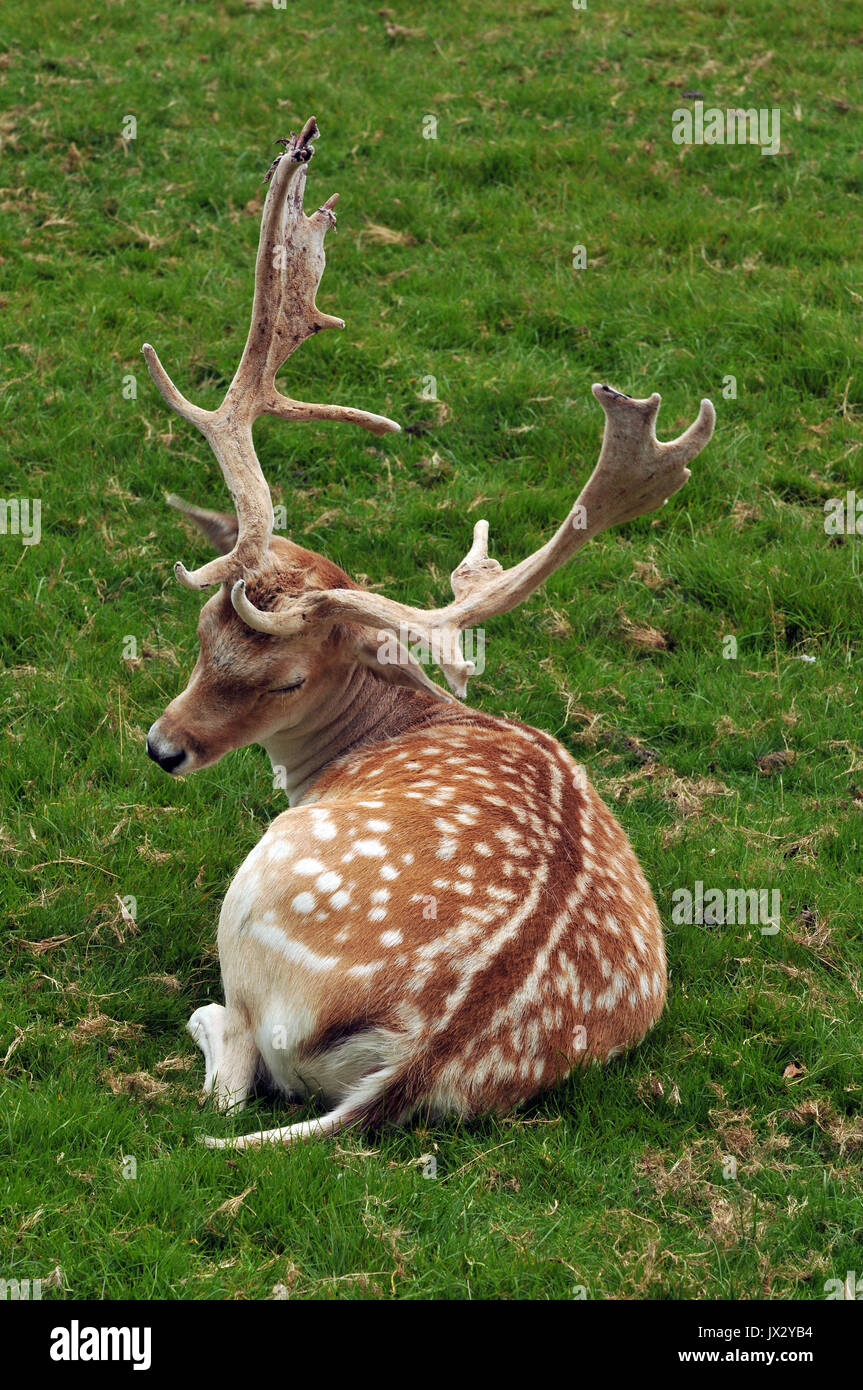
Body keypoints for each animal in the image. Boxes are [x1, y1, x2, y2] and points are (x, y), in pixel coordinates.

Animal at [141, 116, 711, 1150]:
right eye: (201, 631)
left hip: (258, 890)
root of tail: (420, 1056)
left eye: (286, 681)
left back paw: (205, 1017)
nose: (164, 748)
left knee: (238, 1064)